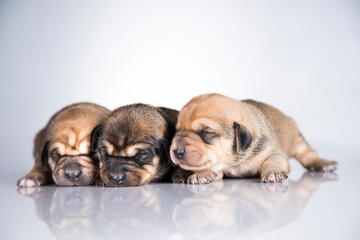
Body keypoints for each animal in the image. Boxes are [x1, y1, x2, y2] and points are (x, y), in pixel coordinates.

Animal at [170, 93, 338, 184]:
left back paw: (324, 164)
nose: (176, 151)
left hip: (298, 140)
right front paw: (202, 173)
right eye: (177, 130)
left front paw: (274, 172)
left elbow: (274, 160)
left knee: (309, 155)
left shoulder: (272, 150)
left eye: (205, 132)